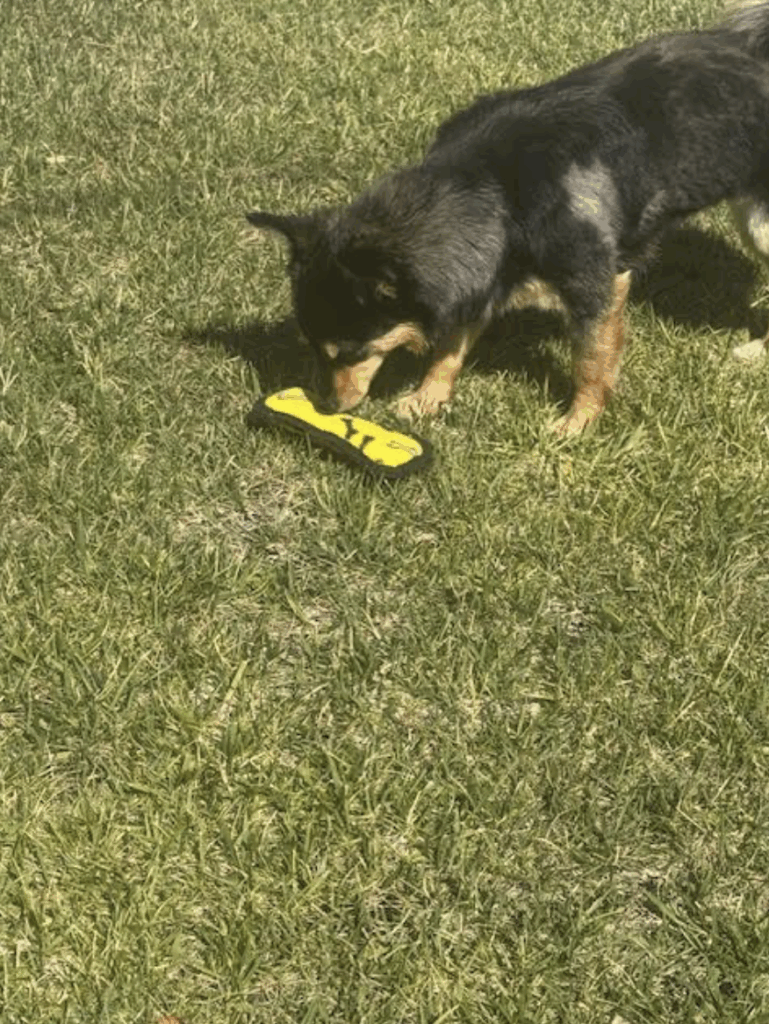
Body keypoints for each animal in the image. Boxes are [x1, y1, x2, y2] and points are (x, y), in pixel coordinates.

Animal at [247, 0, 769, 435]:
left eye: (352, 352)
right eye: (312, 348)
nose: (325, 407)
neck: (491, 190)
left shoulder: (598, 287)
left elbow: (590, 365)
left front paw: (577, 426)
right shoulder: (480, 273)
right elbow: (450, 347)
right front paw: (428, 398)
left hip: (761, 228)